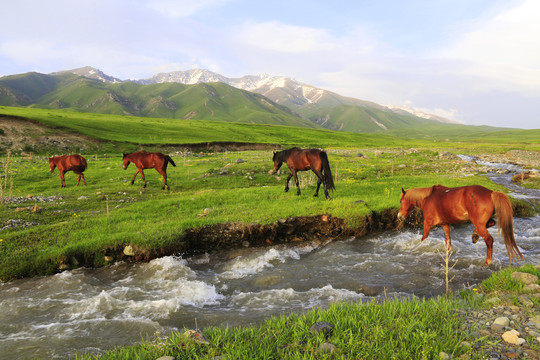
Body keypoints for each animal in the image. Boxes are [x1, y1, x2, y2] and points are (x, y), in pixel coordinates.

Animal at [396, 184, 524, 266]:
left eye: (401, 201)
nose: (399, 216)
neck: (428, 198)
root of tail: (491, 193)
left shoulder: (427, 224)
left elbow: (423, 239)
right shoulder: (445, 225)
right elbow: (448, 242)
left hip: (478, 222)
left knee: (489, 240)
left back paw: (487, 262)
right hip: (481, 222)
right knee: (491, 223)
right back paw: (475, 235)